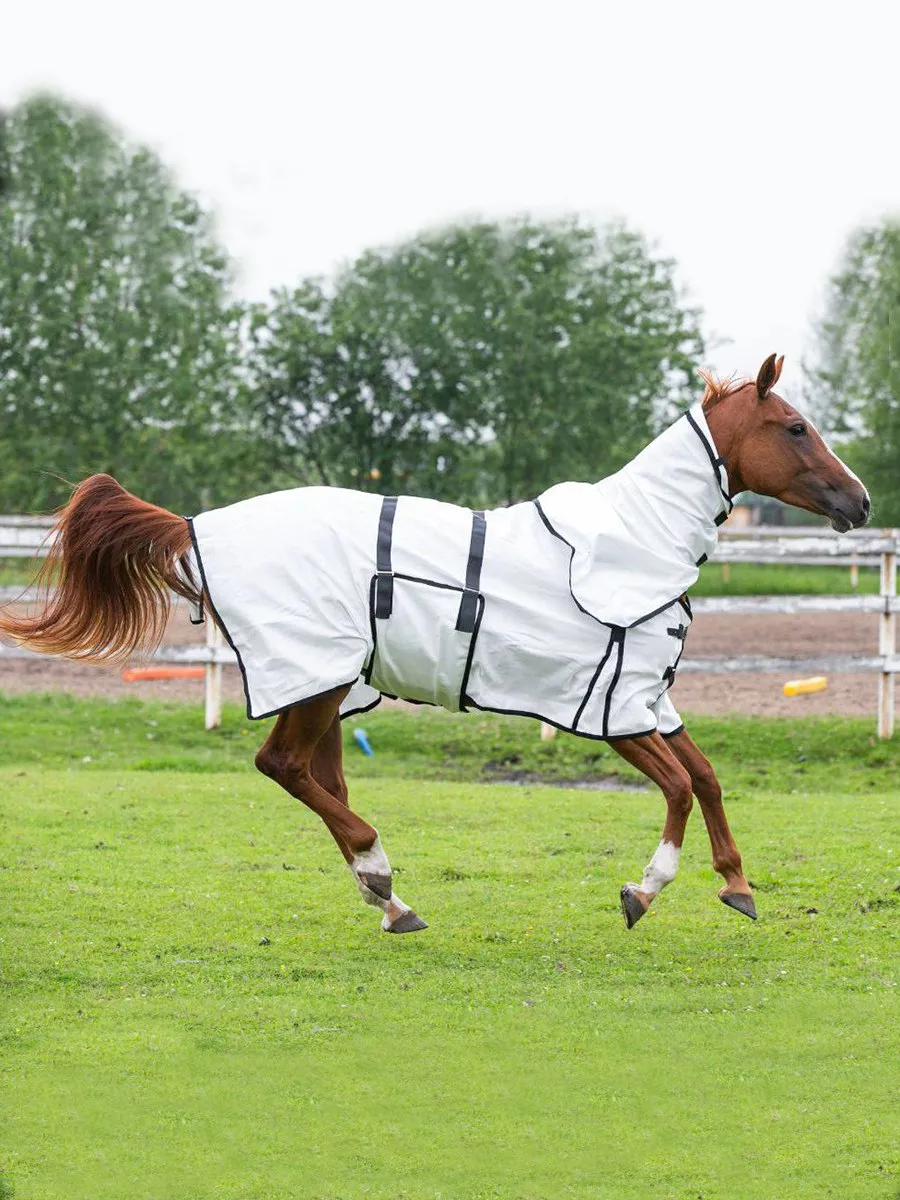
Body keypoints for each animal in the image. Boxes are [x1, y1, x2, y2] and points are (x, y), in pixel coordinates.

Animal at [0, 354, 870, 933]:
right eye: (795, 427)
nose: (859, 501)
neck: (633, 542)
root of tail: (196, 525)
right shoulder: (609, 710)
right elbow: (681, 787)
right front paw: (644, 890)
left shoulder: (648, 697)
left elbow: (709, 778)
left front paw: (738, 886)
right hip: (316, 678)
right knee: (283, 766)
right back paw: (381, 872)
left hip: (331, 688)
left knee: (316, 775)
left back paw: (388, 898)